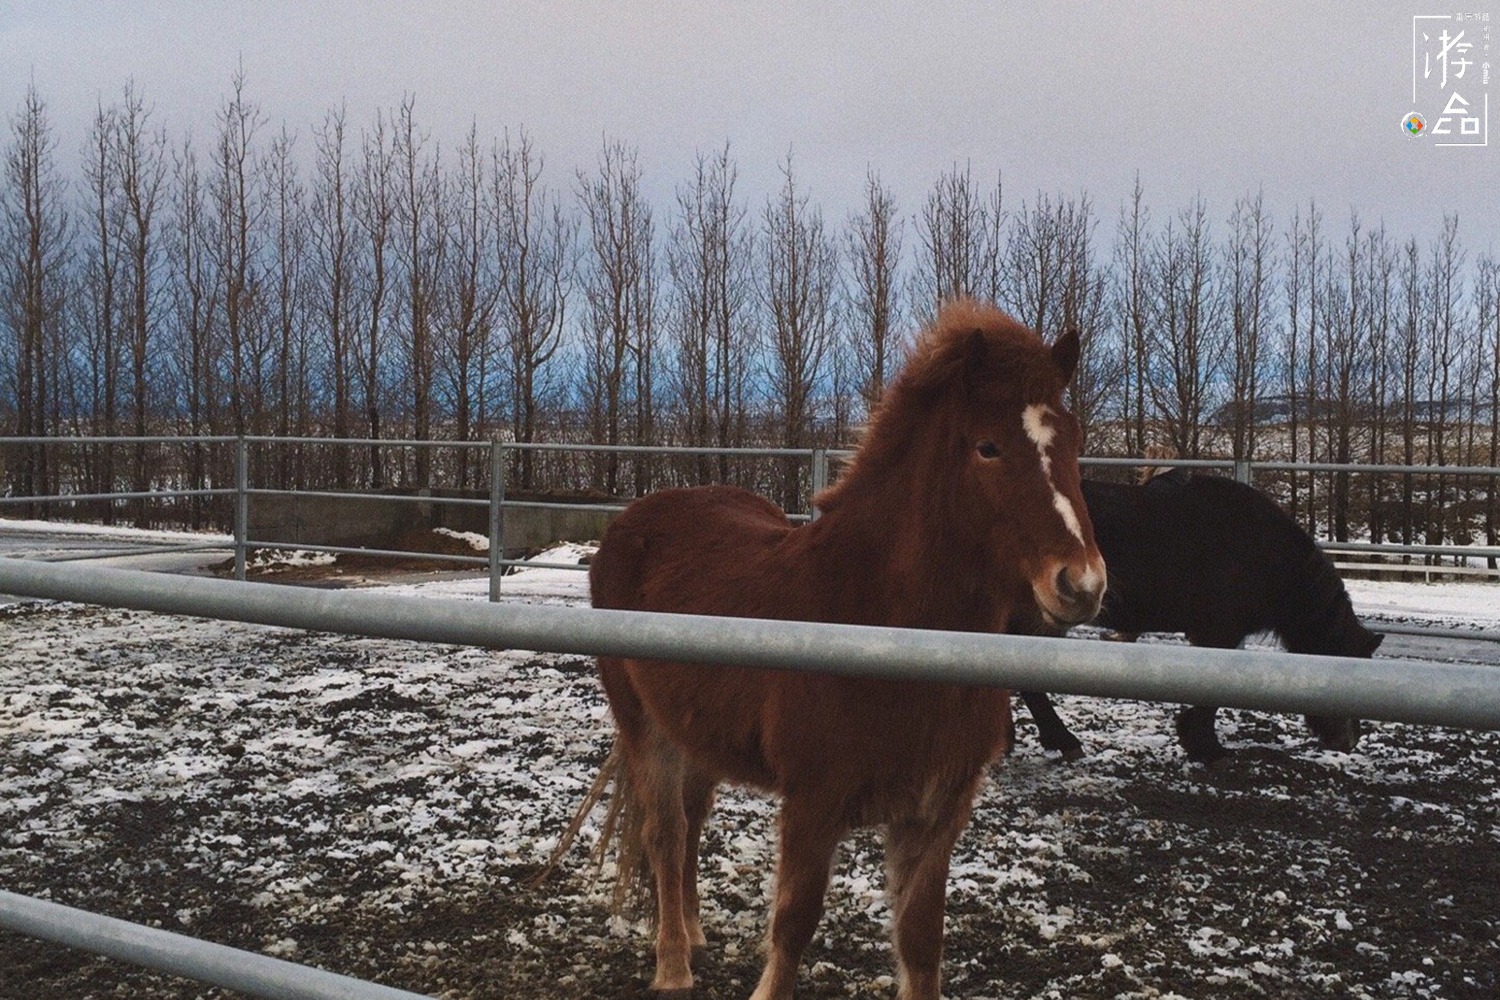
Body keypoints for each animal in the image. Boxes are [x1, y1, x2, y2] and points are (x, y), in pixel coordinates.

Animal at [585, 301, 1104, 1000]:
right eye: (988, 447)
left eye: (1072, 442)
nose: (1082, 584)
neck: (880, 626)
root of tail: (630, 523)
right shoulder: (813, 802)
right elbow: (794, 925)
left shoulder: (936, 814)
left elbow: (921, 939)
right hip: (645, 727)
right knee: (665, 833)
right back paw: (673, 965)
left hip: (698, 732)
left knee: (692, 820)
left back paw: (693, 932)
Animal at [1020, 470, 1380, 767]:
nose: (1349, 740)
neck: (1263, 552)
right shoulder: (1219, 633)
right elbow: (1211, 692)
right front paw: (1207, 747)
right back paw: (1063, 740)